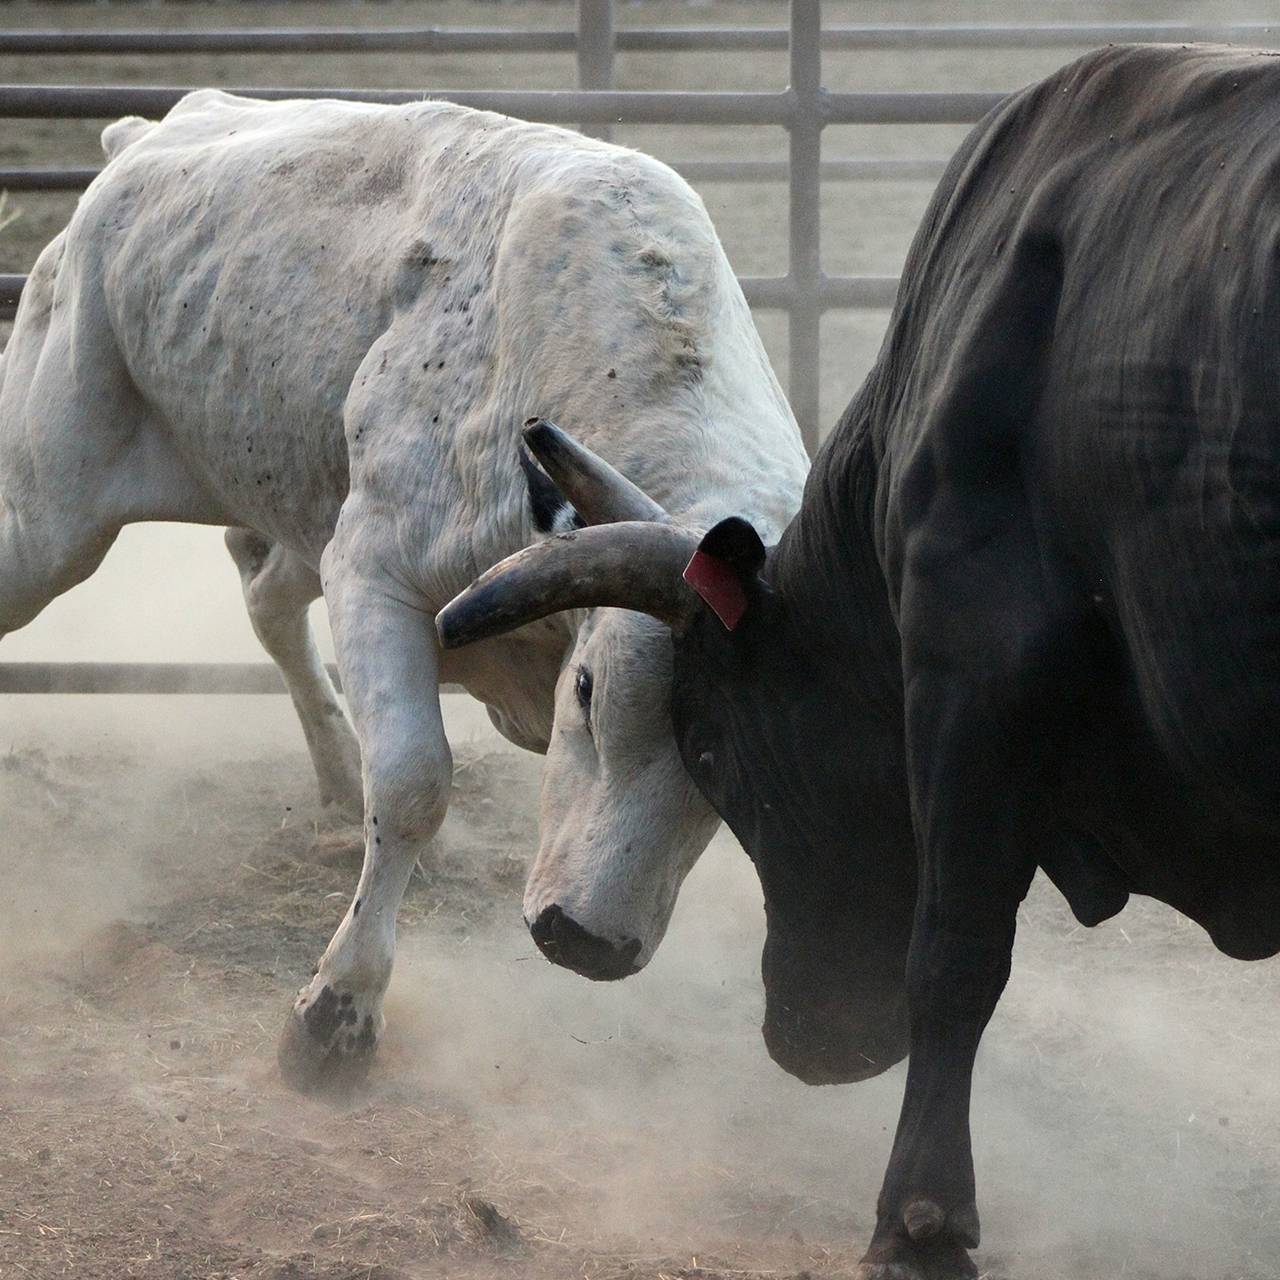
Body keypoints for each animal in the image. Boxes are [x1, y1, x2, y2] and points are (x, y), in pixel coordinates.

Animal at [0, 92, 798, 1090]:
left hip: (301, 512)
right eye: (589, 691)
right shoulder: (375, 574)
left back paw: (340, 774)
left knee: (267, 598)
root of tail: (152, 133)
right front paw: (337, 1010)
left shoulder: (355, 555)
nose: (585, 942)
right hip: (48, 517)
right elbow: (415, 784)